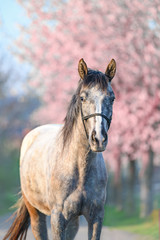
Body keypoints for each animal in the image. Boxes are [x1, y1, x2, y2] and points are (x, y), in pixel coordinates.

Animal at [3, 57, 115, 239]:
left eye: (112, 98)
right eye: (82, 98)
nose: (99, 139)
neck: (79, 168)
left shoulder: (96, 218)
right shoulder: (58, 218)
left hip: (73, 221)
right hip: (35, 212)